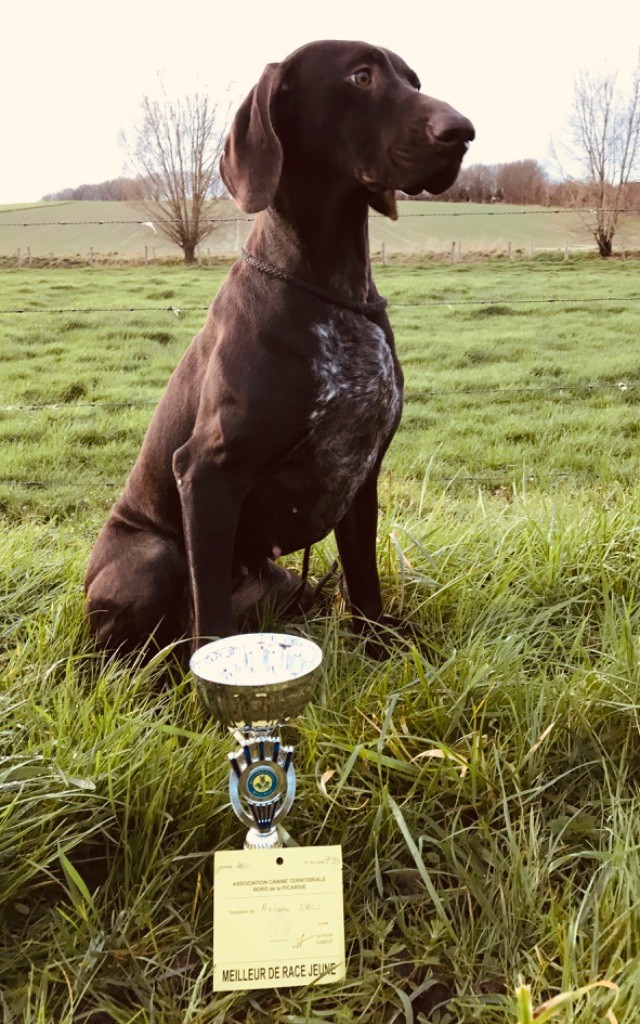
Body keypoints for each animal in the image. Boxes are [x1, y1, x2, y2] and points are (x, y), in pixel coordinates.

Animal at [84, 39, 471, 655]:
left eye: (413, 80)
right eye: (361, 76)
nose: (462, 131)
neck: (335, 293)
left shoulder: (358, 477)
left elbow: (365, 588)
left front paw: (378, 651)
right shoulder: (207, 473)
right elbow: (211, 622)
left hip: (281, 578)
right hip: (154, 555)